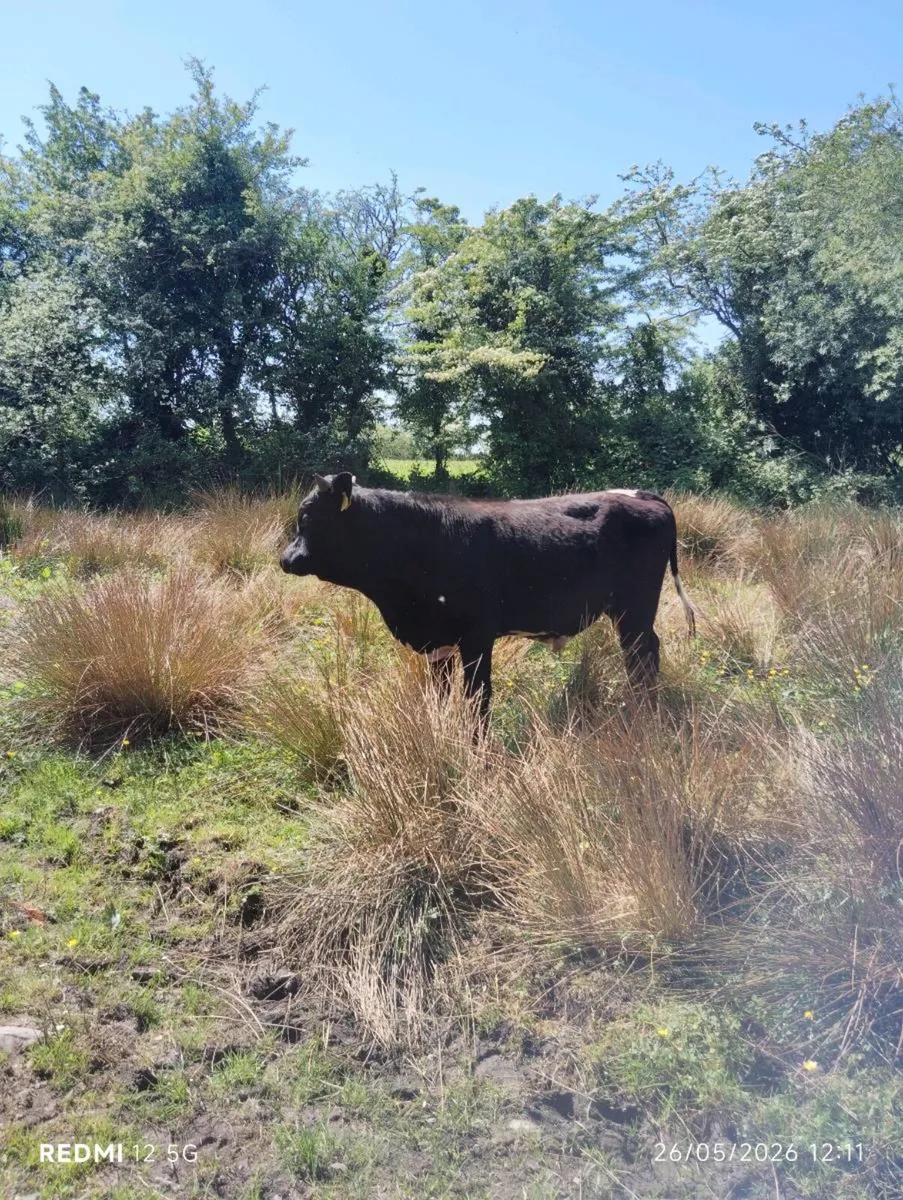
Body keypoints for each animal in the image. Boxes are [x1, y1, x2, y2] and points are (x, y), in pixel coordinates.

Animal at [279, 472, 696, 723]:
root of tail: (640, 493)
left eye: (309, 518)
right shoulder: (439, 642)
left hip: (635, 609)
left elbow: (477, 698)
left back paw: (644, 713)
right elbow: (440, 695)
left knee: (642, 655)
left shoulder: (477, 636)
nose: (285, 559)